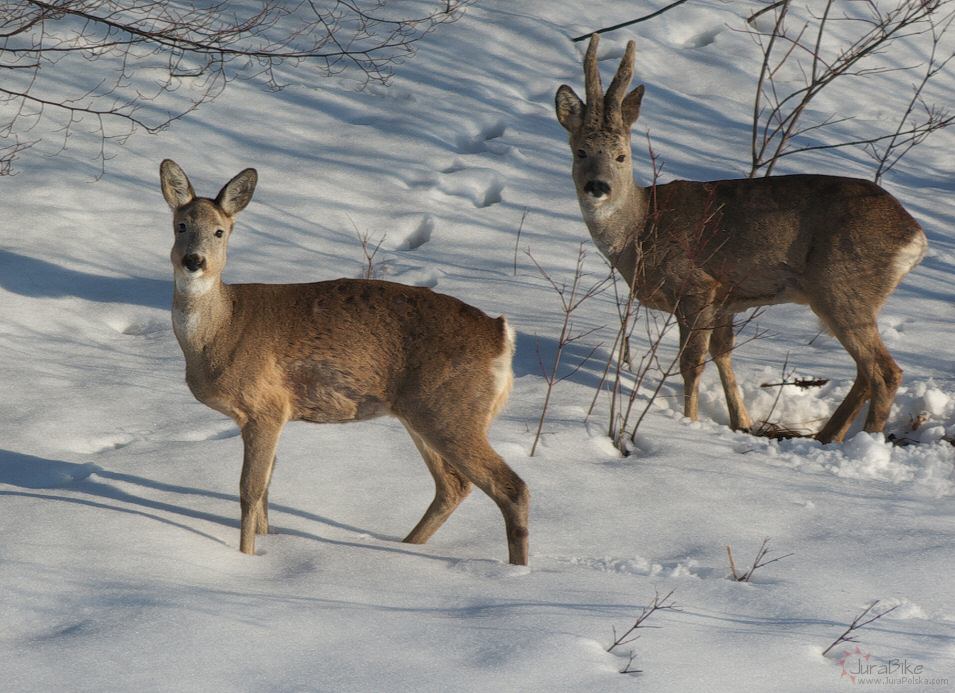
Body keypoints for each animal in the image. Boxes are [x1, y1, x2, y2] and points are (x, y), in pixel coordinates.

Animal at [158, 161, 532, 564]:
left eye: (220, 231)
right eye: (181, 225)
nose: (193, 260)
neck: (222, 331)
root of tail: (501, 335)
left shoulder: (267, 408)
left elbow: (249, 491)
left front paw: (247, 558)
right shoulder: (266, 417)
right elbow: (267, 490)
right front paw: (269, 546)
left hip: (451, 409)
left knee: (511, 487)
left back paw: (515, 570)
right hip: (422, 411)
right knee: (453, 484)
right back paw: (402, 547)